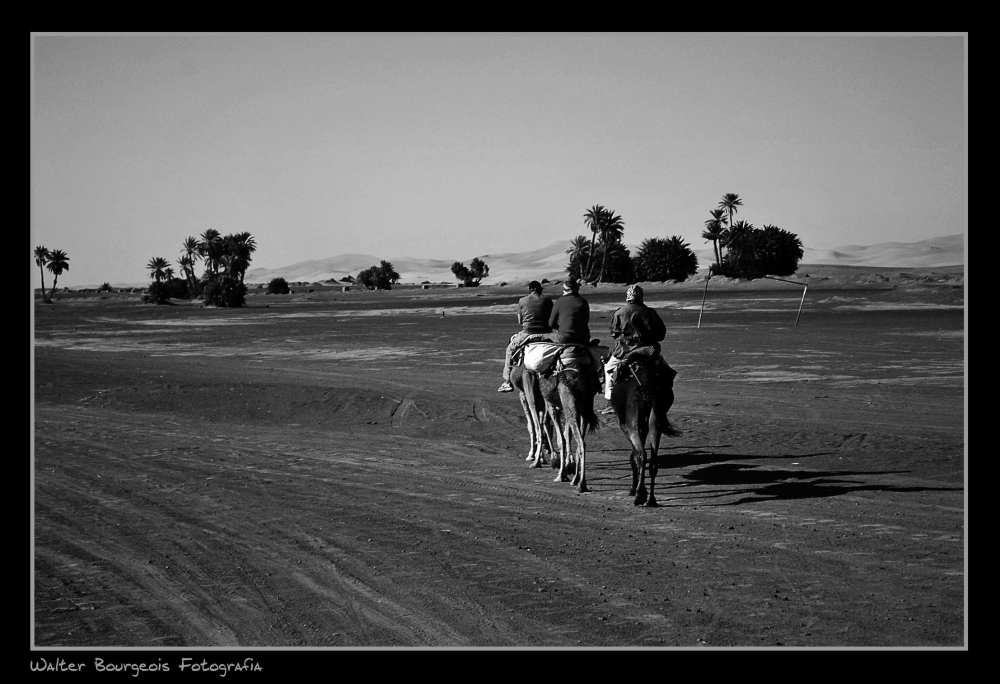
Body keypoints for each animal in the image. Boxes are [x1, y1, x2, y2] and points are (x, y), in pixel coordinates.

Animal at [608, 356, 680, 504]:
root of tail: (646, 390)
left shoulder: (624, 424)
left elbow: (633, 455)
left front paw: (633, 489)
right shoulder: (645, 427)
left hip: (632, 423)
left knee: (642, 454)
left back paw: (639, 494)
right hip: (655, 421)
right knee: (653, 460)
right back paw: (651, 499)